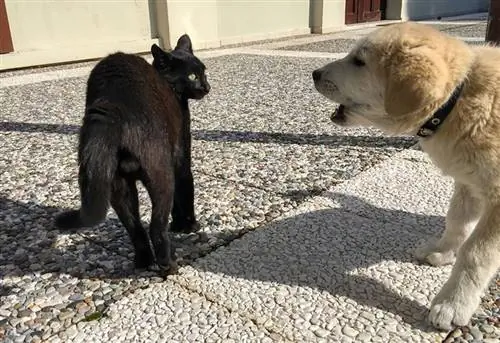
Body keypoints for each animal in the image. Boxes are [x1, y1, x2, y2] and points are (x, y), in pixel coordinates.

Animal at [55, 35, 211, 276]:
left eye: (204, 72)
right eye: (193, 76)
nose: (207, 86)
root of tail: (112, 105)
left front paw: (177, 226)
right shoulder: (181, 160)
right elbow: (185, 193)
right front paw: (189, 226)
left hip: (116, 184)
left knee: (135, 227)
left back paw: (144, 261)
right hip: (161, 174)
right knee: (155, 226)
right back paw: (168, 265)